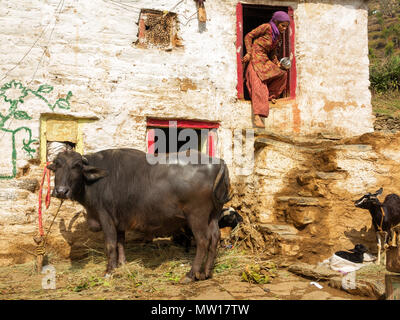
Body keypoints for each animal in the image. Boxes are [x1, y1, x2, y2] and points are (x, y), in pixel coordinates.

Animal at [48, 148, 230, 280]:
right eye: (56, 166)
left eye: (77, 166)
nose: (61, 191)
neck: (95, 182)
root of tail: (217, 162)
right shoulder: (119, 220)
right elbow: (121, 243)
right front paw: (121, 264)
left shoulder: (106, 217)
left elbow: (110, 244)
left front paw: (109, 271)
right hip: (214, 214)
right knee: (215, 237)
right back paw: (206, 272)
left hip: (197, 216)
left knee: (203, 241)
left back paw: (191, 274)